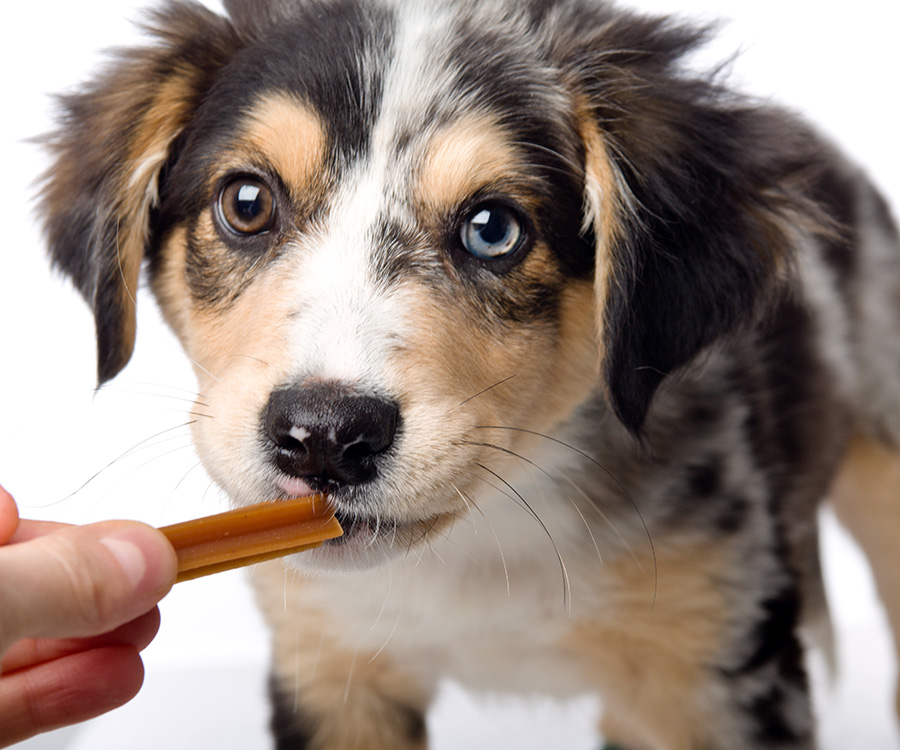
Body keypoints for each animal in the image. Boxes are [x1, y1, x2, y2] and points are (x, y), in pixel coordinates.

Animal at [38, 1, 900, 750]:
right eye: (246, 201)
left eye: (492, 229)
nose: (325, 437)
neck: (486, 536)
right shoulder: (329, 668)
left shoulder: (715, 666)